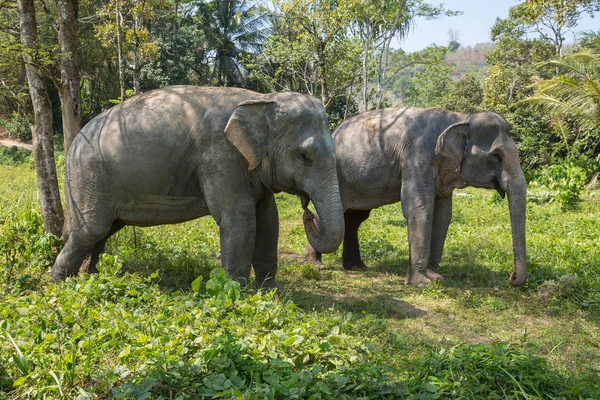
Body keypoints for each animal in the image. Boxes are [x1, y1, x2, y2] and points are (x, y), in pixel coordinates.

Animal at [51, 86, 344, 290]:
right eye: (304, 156)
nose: (308, 212)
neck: (262, 98)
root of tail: (73, 144)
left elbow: (269, 219)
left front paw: (271, 291)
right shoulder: (220, 156)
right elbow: (239, 219)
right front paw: (236, 292)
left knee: (104, 231)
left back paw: (92, 276)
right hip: (90, 178)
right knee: (91, 230)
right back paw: (60, 283)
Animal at [308, 108, 528, 286]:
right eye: (497, 156)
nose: (511, 277)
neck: (461, 117)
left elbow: (443, 215)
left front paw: (436, 277)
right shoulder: (418, 156)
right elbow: (419, 207)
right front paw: (421, 283)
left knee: (355, 218)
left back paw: (356, 267)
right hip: (333, 175)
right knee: (326, 213)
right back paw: (316, 265)